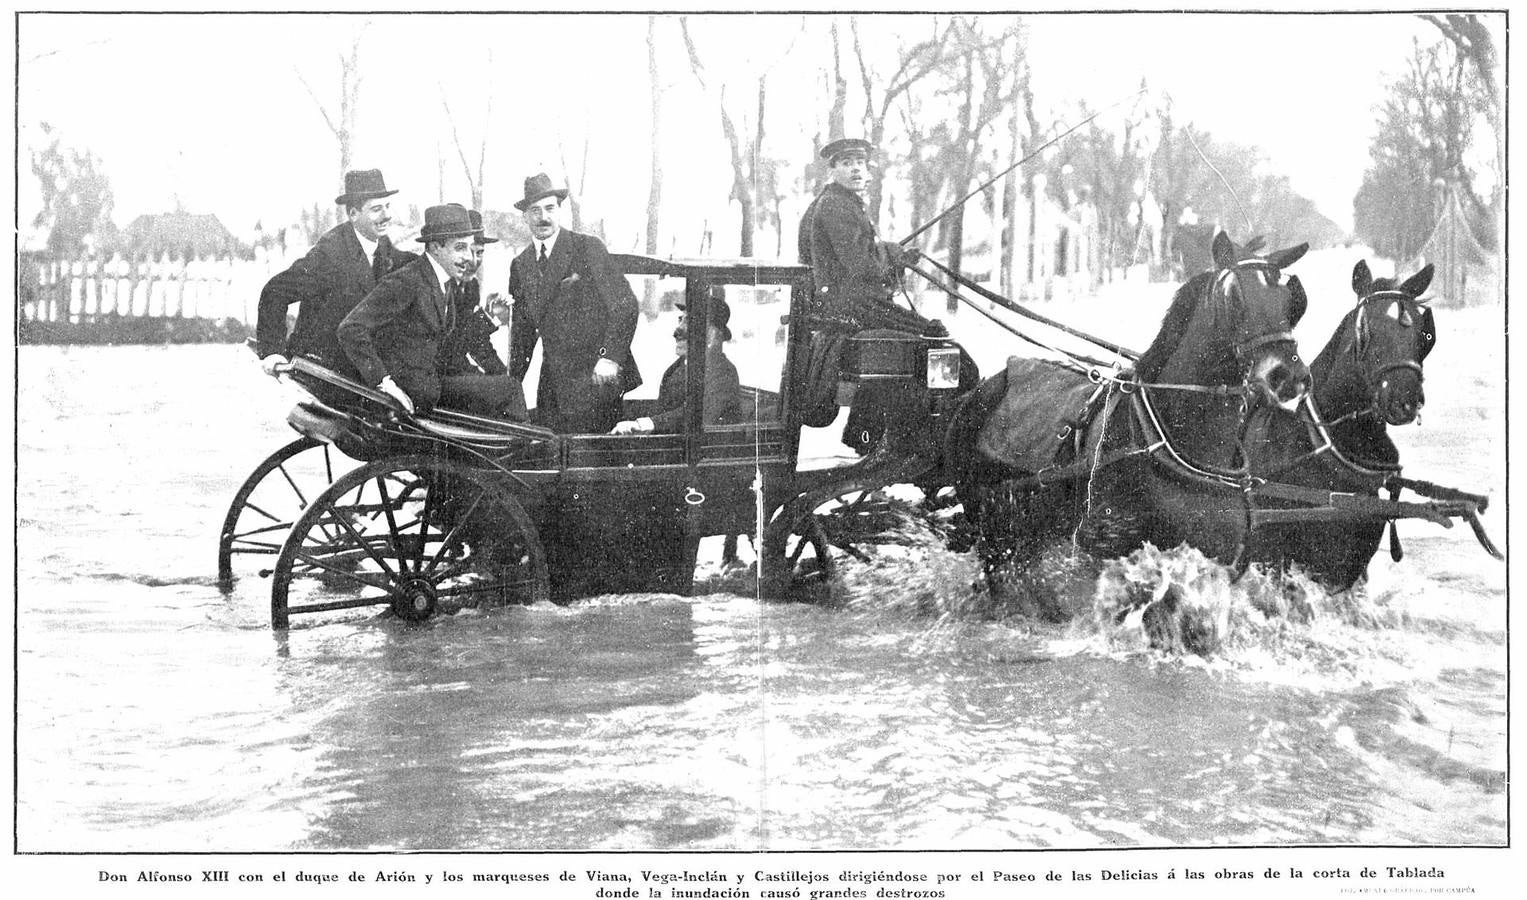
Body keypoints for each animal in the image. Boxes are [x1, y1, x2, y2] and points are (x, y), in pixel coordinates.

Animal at [946, 232, 1307, 583]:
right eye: (1234, 297)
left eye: (1289, 301)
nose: (1290, 376)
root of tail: (982, 387)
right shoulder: (1100, 548)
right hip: (992, 524)